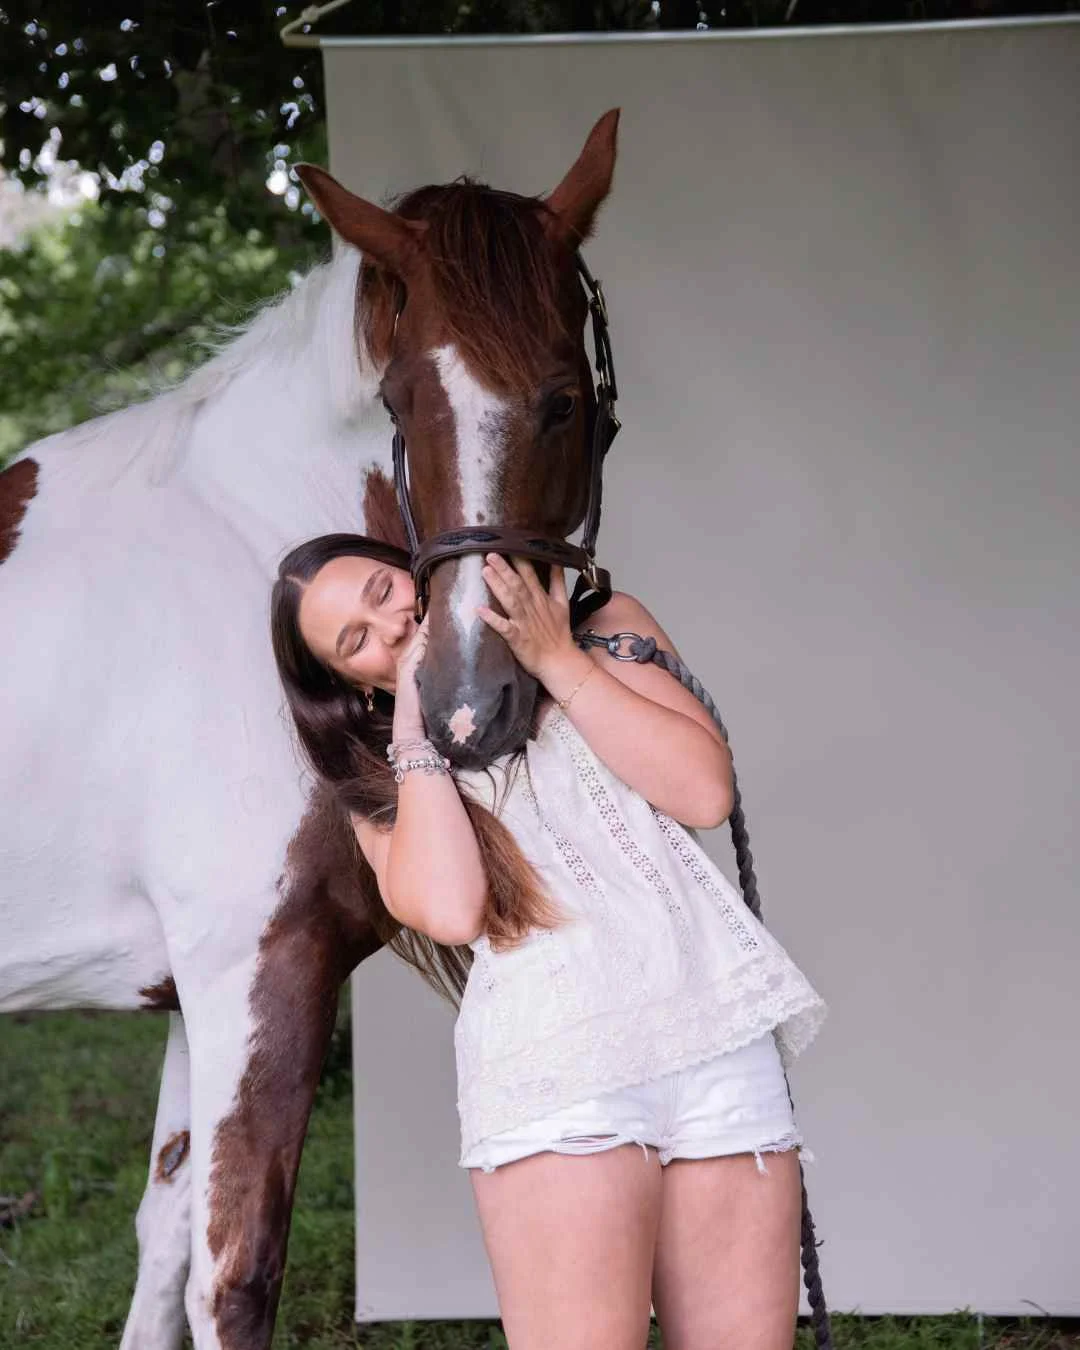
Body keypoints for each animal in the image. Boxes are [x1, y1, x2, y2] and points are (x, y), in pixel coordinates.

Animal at [0, 109, 620, 1350]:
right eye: (401, 402)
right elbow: (233, 1276)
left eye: (563, 398)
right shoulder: (261, 968)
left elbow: (162, 1244)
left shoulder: (195, 989)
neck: (245, 563)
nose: (471, 700)